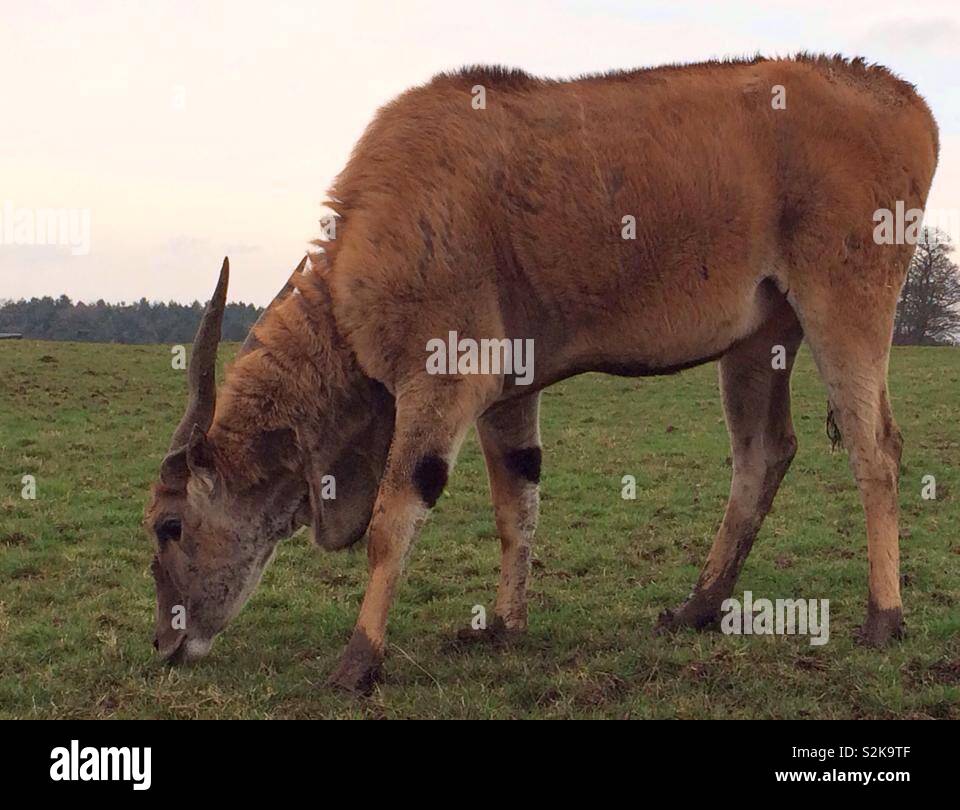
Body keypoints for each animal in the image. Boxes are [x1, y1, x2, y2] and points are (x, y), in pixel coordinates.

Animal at [144, 53, 936, 692]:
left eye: (169, 526)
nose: (164, 644)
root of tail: (910, 105)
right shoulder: (507, 395)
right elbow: (515, 506)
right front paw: (502, 627)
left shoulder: (443, 378)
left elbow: (393, 518)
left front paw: (357, 663)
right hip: (757, 340)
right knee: (764, 453)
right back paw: (696, 609)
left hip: (844, 305)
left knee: (876, 449)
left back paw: (884, 619)